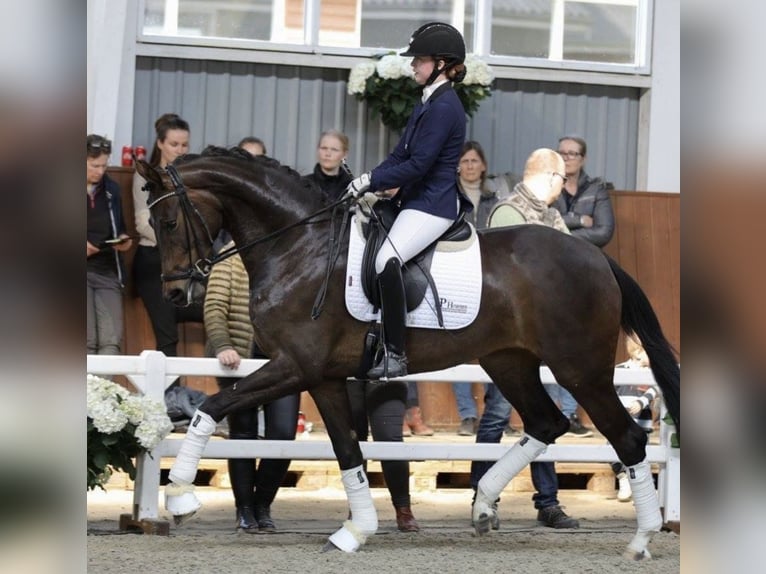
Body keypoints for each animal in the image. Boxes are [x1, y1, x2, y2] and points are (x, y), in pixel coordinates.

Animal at [135, 151, 680, 560]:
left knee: (627, 438)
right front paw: (356, 531)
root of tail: (597, 257)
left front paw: (179, 496)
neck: (297, 246)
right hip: (509, 362)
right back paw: (483, 506)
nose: (177, 294)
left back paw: (640, 541)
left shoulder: (295, 366)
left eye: (169, 221)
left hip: (580, 369)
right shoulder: (322, 376)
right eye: (153, 224)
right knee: (547, 422)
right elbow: (348, 451)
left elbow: (211, 407)